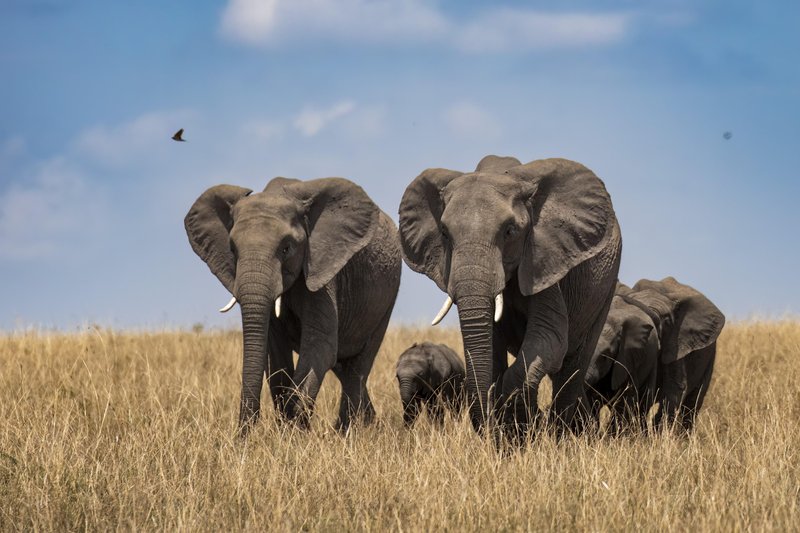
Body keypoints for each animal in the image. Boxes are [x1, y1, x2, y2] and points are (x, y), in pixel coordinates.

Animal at [185, 175, 404, 432]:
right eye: (232, 250)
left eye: (286, 248)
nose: (243, 435)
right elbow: (276, 354)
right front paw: (286, 430)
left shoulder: (321, 270)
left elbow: (320, 345)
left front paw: (295, 431)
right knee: (342, 365)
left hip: (387, 298)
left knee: (357, 367)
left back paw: (347, 431)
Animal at [398, 155, 620, 436]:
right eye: (445, 234)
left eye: (509, 231)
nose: (486, 429)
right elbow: (492, 348)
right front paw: (507, 432)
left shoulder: (543, 258)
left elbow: (550, 337)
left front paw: (516, 427)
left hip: (605, 288)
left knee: (572, 366)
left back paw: (559, 436)